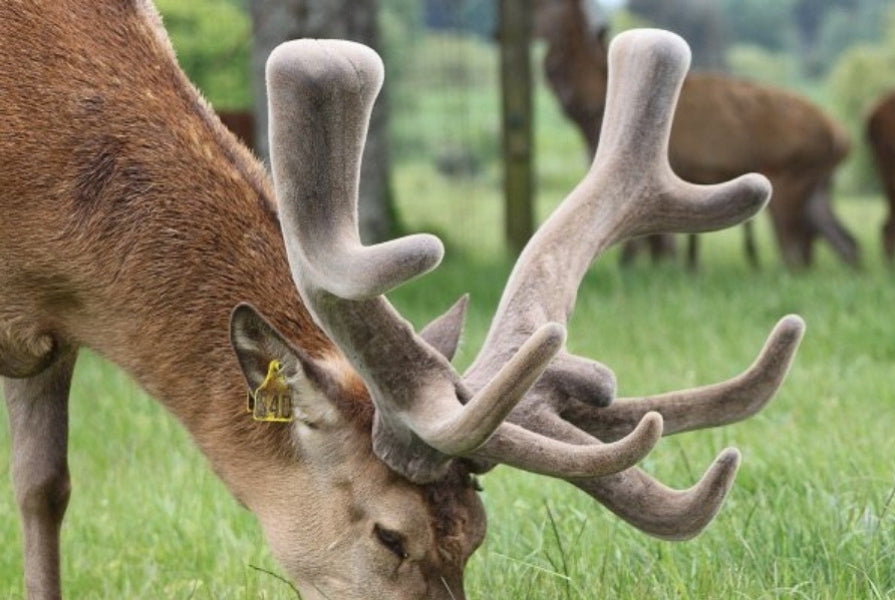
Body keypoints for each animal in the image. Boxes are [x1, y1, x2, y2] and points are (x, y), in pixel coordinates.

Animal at [536, 0, 856, 270]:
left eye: (545, 5)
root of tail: (841, 137)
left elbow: (648, 249)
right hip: (816, 185)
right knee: (844, 241)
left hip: (788, 177)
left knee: (795, 251)